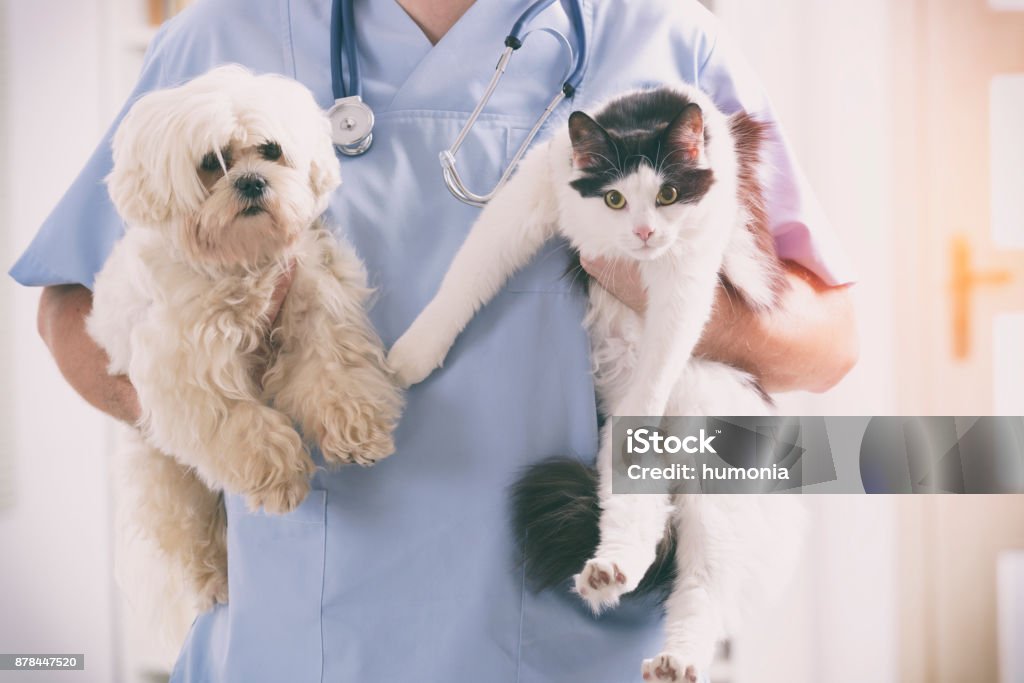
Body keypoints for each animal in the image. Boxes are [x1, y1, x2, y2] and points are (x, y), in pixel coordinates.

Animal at [88, 65, 401, 610]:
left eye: (271, 151)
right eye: (211, 164)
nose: (252, 181)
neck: (243, 263)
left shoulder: (314, 304)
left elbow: (335, 375)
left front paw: (356, 430)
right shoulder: (190, 369)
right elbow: (242, 424)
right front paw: (280, 477)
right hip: (166, 478)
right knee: (189, 531)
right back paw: (213, 577)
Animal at [387, 87, 802, 683]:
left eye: (668, 194)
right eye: (614, 199)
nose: (645, 233)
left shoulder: (688, 268)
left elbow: (666, 345)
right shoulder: (532, 195)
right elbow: (466, 277)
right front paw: (414, 355)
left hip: (717, 483)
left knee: (702, 588)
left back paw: (676, 659)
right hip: (630, 471)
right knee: (640, 522)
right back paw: (607, 575)